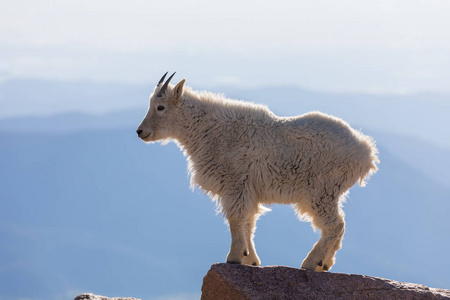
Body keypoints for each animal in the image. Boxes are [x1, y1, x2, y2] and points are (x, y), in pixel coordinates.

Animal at [135, 72, 378, 272]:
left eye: (160, 107)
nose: (140, 132)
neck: (205, 130)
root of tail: (366, 152)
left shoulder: (235, 183)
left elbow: (236, 219)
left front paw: (233, 257)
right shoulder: (248, 190)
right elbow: (248, 222)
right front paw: (250, 259)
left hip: (320, 190)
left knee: (335, 225)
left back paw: (310, 263)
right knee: (337, 227)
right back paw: (324, 264)